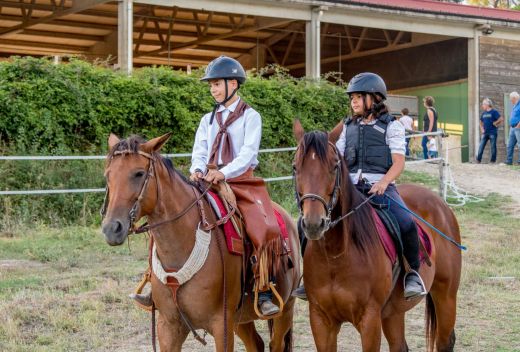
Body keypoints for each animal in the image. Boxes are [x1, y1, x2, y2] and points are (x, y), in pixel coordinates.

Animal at [100, 133, 300, 352]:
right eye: (108, 175)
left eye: (138, 173)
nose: (112, 228)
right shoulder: (168, 326)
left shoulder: (222, 325)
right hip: (241, 320)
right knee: (256, 344)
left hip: (285, 308)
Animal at [294, 121, 462, 352]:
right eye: (295, 167)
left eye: (334, 166)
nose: (313, 223)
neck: (336, 255)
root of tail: (439, 202)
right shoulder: (321, 320)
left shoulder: (369, 319)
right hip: (393, 312)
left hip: (445, 296)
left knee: (445, 341)